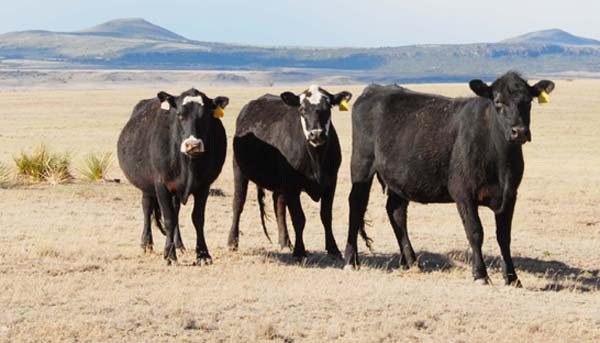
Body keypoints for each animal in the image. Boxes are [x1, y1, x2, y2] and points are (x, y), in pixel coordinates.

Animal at [118, 88, 230, 266]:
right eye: (179, 115)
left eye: (205, 115)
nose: (193, 145)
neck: (188, 164)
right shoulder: (161, 185)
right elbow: (169, 218)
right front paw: (169, 255)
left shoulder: (204, 187)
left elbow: (198, 218)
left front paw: (203, 255)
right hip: (147, 187)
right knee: (147, 208)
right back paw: (146, 243)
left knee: (175, 210)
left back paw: (179, 244)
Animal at [227, 85, 354, 258]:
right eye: (302, 109)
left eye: (328, 107)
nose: (317, 134)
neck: (316, 159)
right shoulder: (292, 184)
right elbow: (299, 218)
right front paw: (300, 251)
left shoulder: (331, 182)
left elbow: (326, 215)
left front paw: (333, 249)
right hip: (239, 170)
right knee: (238, 203)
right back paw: (232, 241)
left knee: (279, 205)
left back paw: (285, 242)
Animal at [344, 73, 556, 288]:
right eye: (498, 101)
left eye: (528, 101)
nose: (519, 131)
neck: (500, 161)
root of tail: (374, 89)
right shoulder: (463, 193)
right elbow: (475, 232)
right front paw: (480, 274)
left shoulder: (509, 194)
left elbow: (504, 237)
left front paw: (512, 278)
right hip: (361, 164)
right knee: (356, 205)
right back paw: (351, 260)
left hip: (401, 178)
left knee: (396, 212)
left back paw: (411, 262)